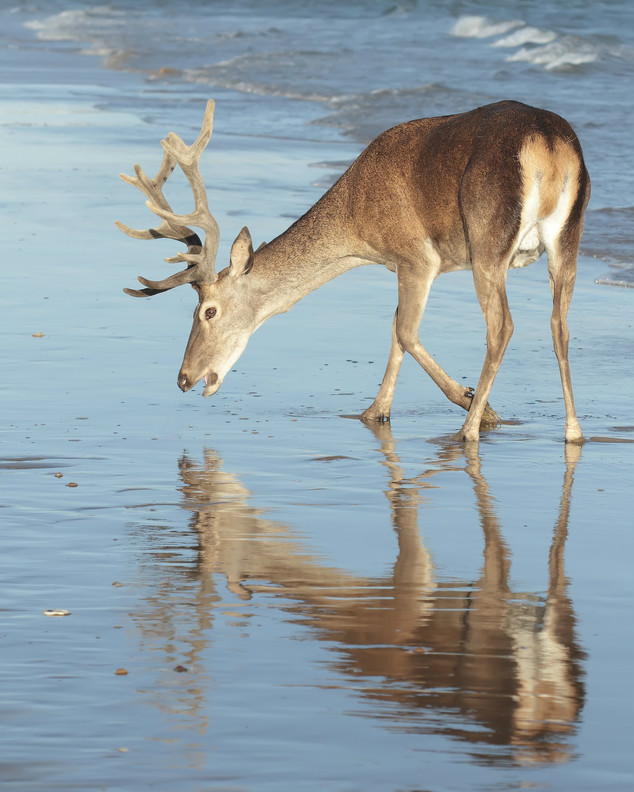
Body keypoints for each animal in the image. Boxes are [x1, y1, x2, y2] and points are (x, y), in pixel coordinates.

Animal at [117, 98, 588, 442]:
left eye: (208, 311)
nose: (183, 378)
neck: (357, 230)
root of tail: (547, 144)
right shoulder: (405, 265)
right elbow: (396, 329)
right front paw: (374, 412)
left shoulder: (417, 257)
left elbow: (405, 331)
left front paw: (478, 404)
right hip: (569, 237)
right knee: (560, 326)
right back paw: (574, 432)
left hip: (487, 239)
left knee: (502, 325)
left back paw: (469, 429)